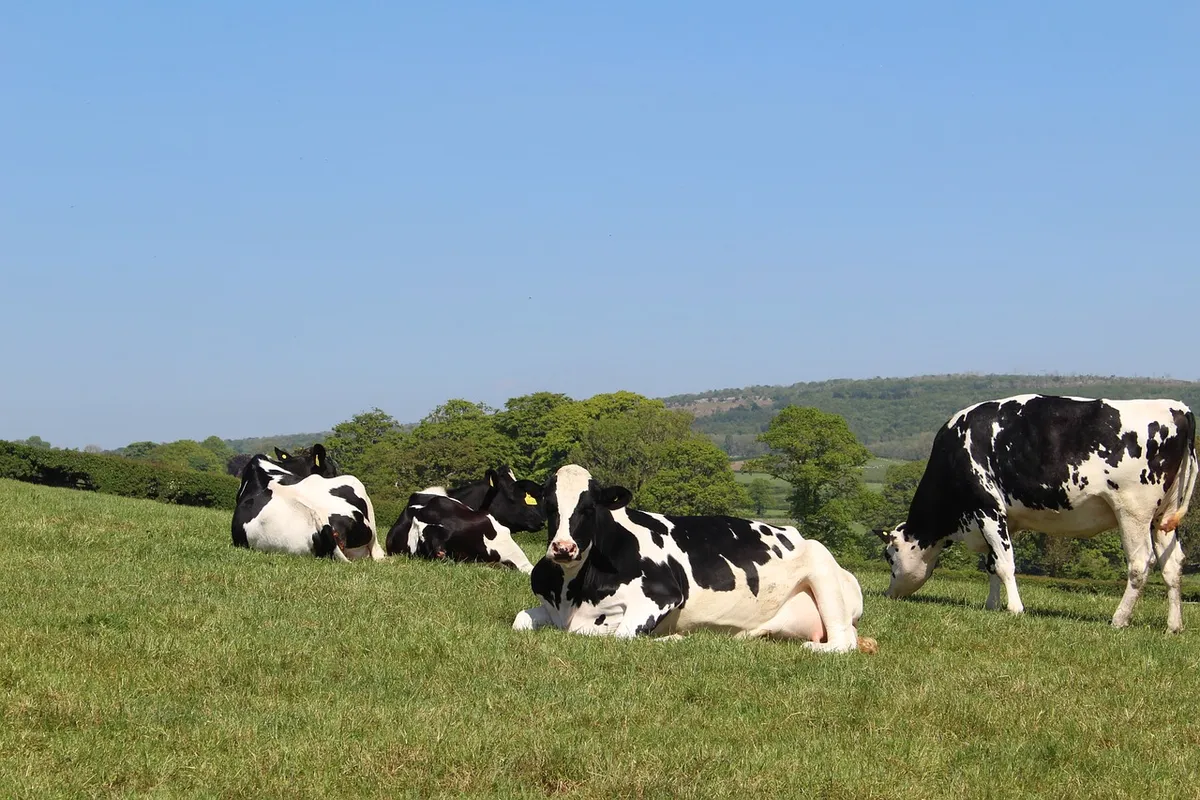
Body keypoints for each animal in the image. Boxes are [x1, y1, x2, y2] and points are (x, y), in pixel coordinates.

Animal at [511, 465, 878, 652]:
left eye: (589, 508)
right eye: (549, 505)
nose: (563, 548)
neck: (572, 592)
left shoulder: (662, 595)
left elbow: (613, 632)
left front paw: (671, 637)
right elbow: (520, 620)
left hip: (821, 566)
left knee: (842, 642)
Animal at [878, 393, 1195, 633]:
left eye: (890, 557)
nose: (889, 594)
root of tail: (1178, 408)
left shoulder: (988, 508)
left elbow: (1005, 564)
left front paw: (1015, 609)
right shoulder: (1002, 519)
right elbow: (992, 564)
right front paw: (991, 606)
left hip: (1133, 510)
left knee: (1140, 563)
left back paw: (1119, 619)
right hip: (1162, 518)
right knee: (1172, 565)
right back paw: (1174, 626)